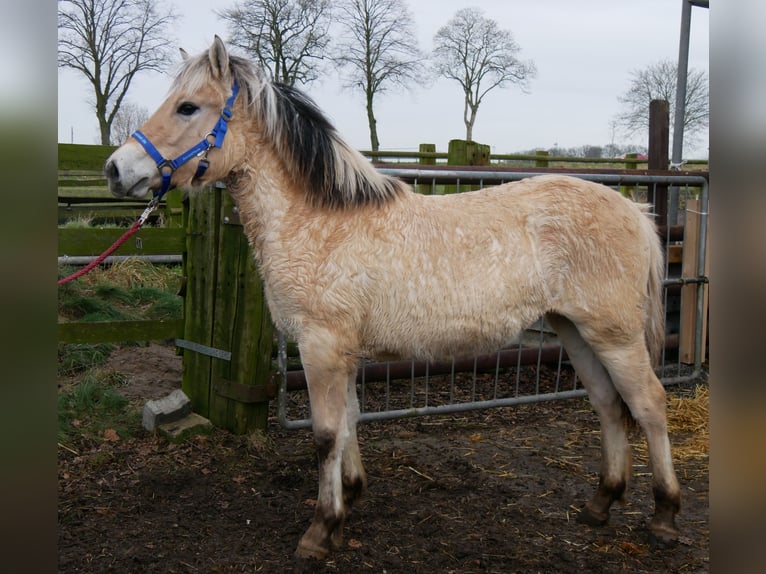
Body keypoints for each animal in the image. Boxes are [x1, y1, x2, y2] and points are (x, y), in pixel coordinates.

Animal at [103, 37, 684, 564]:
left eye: (187, 106)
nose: (116, 169)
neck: (318, 222)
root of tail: (635, 212)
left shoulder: (320, 345)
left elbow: (325, 434)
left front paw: (321, 529)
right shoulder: (340, 349)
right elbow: (350, 423)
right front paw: (350, 499)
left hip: (615, 334)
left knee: (649, 404)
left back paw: (664, 516)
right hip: (574, 330)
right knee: (608, 405)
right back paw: (600, 504)